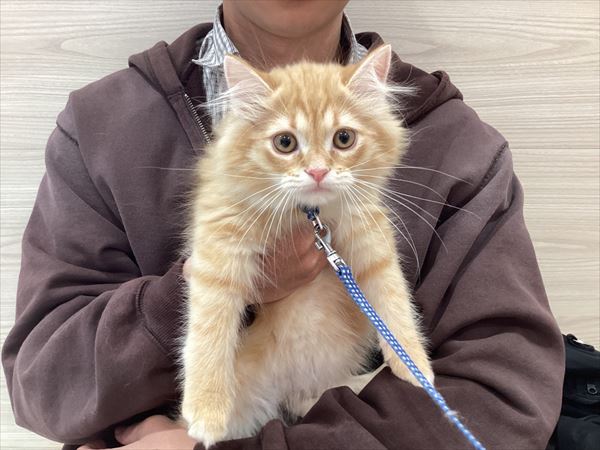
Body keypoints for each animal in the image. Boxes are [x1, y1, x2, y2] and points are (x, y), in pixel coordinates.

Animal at [181, 44, 434, 447]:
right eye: (285, 143)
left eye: (343, 139)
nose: (318, 171)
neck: (307, 214)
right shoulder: (220, 240)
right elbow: (210, 328)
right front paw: (206, 409)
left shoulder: (369, 234)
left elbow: (393, 301)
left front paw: (415, 368)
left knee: (317, 397)